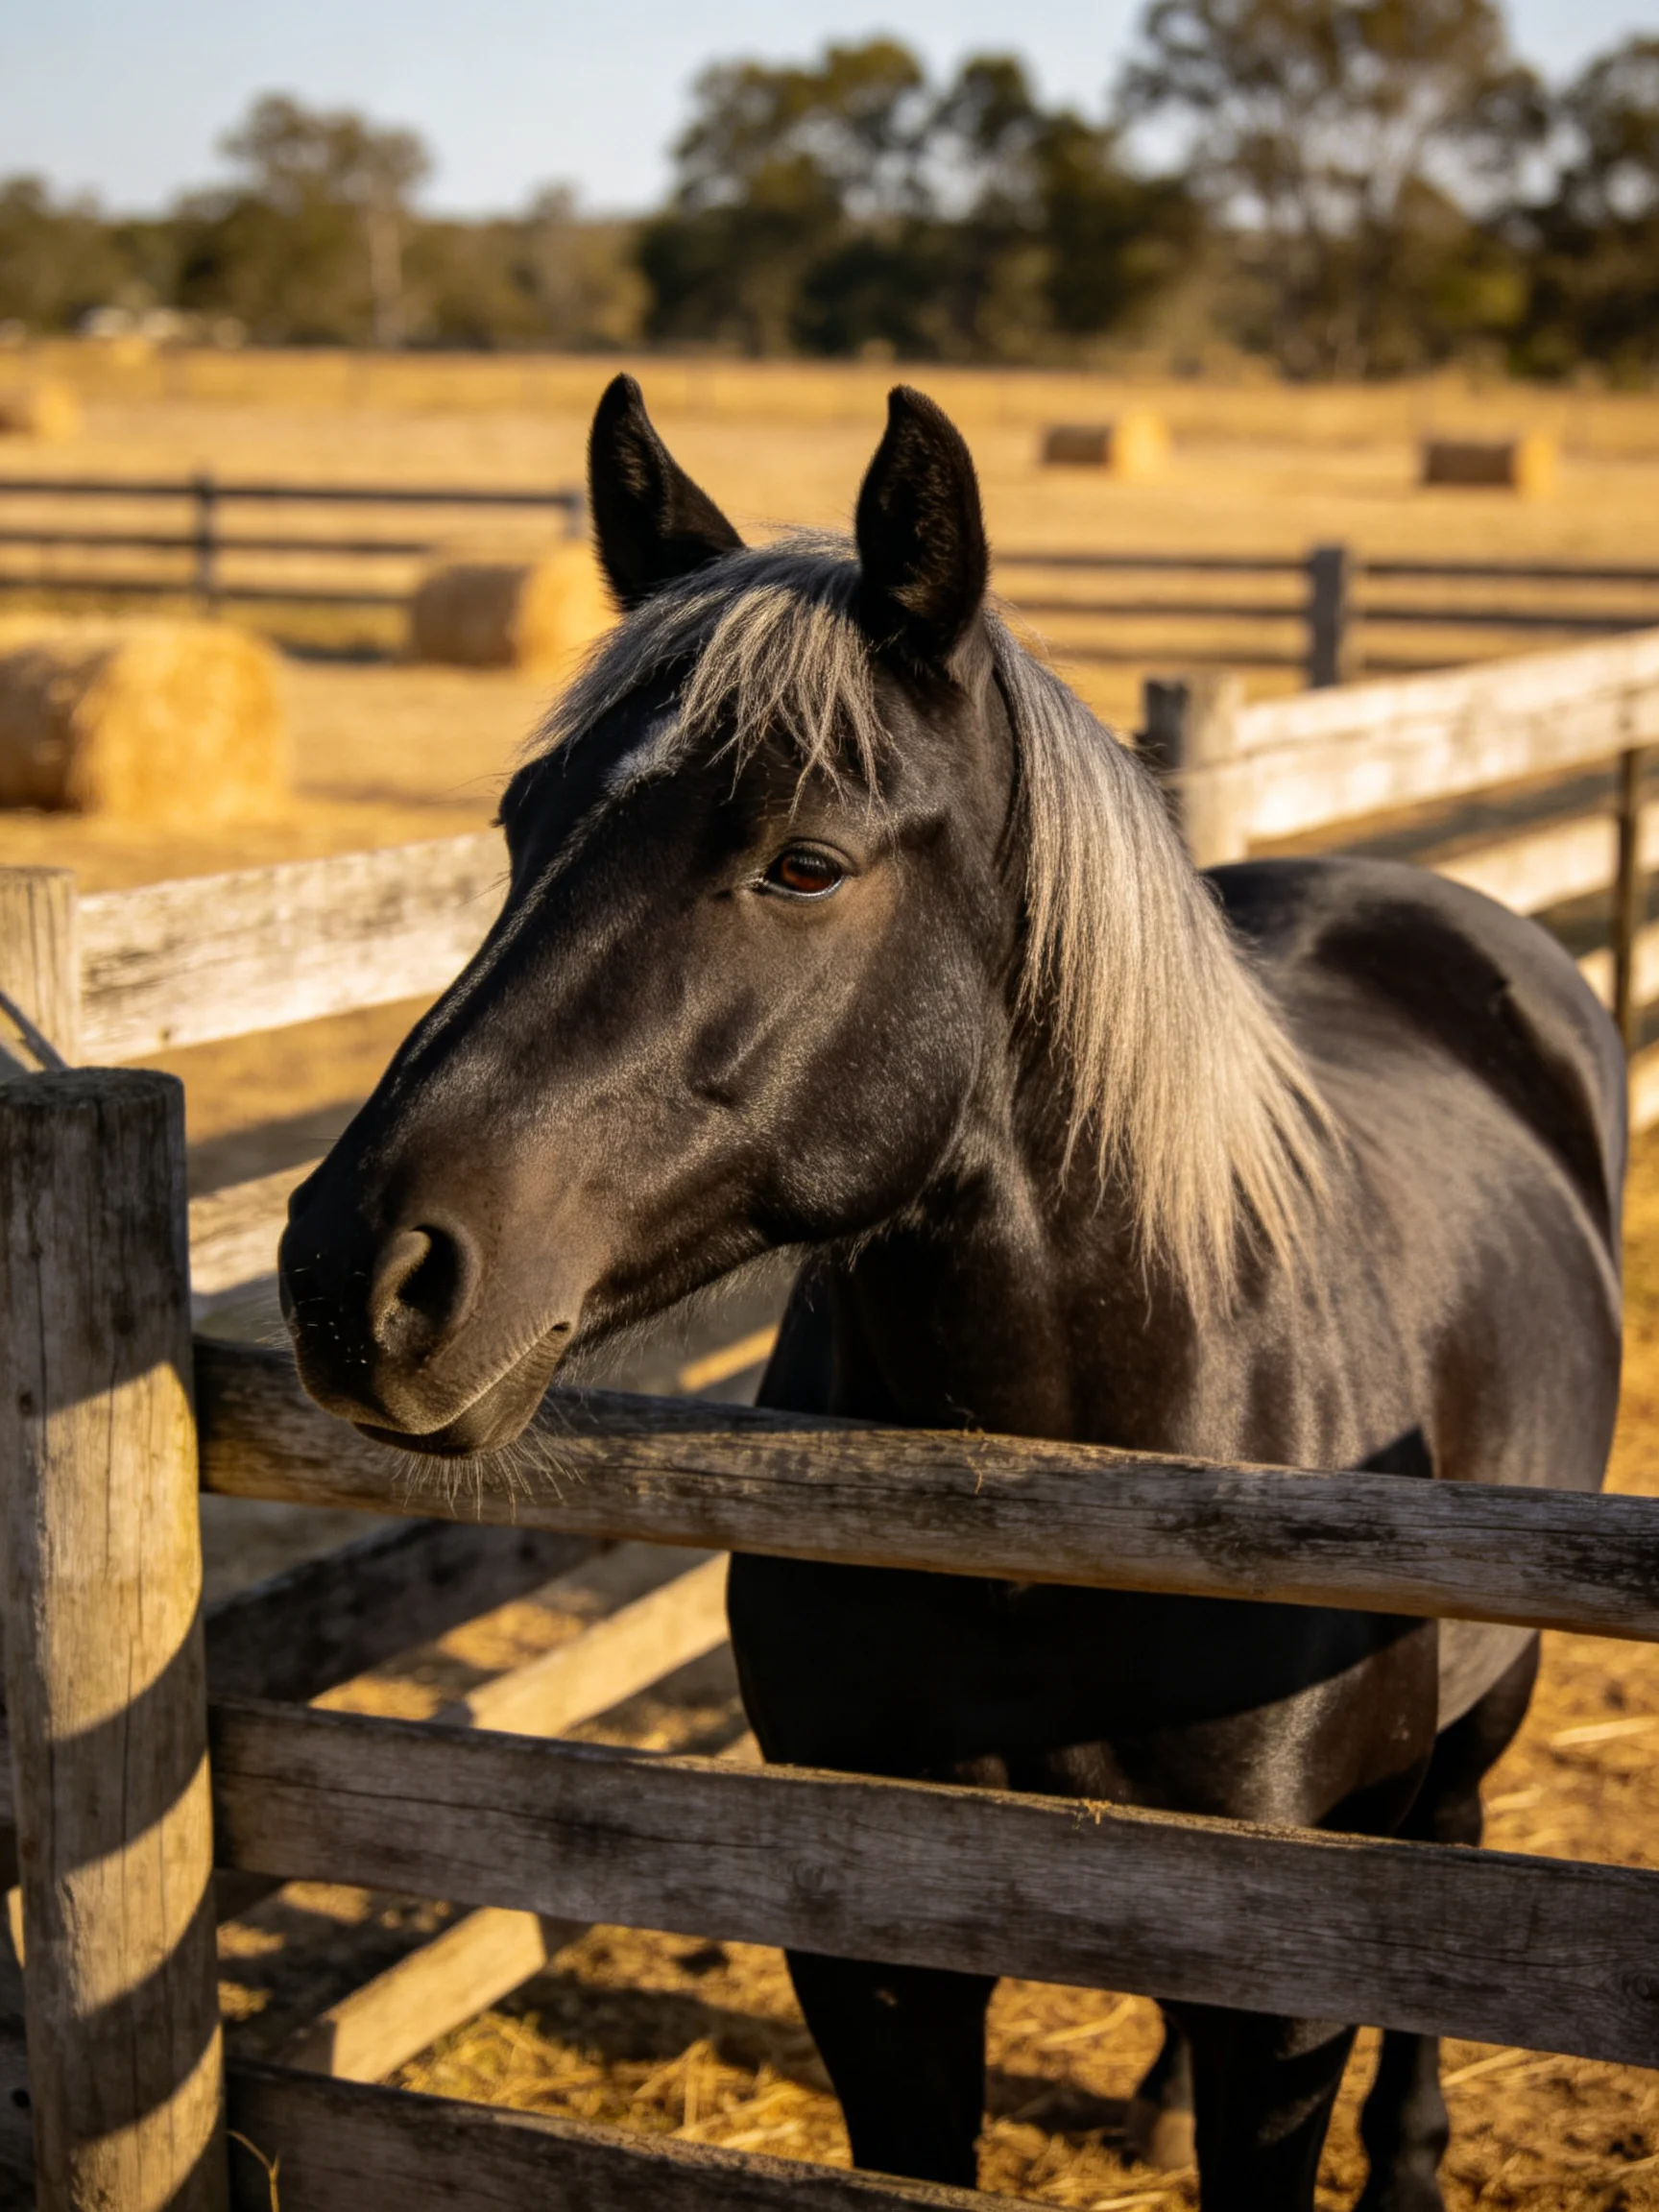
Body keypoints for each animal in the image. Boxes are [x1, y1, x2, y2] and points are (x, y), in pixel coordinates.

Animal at [278, 374, 1625, 2209]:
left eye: (805, 863)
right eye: (518, 819)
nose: (357, 1267)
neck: (1057, 1496)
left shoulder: (1281, 1998)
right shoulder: (878, 1947)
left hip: (1478, 1721)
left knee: (1454, 1856)